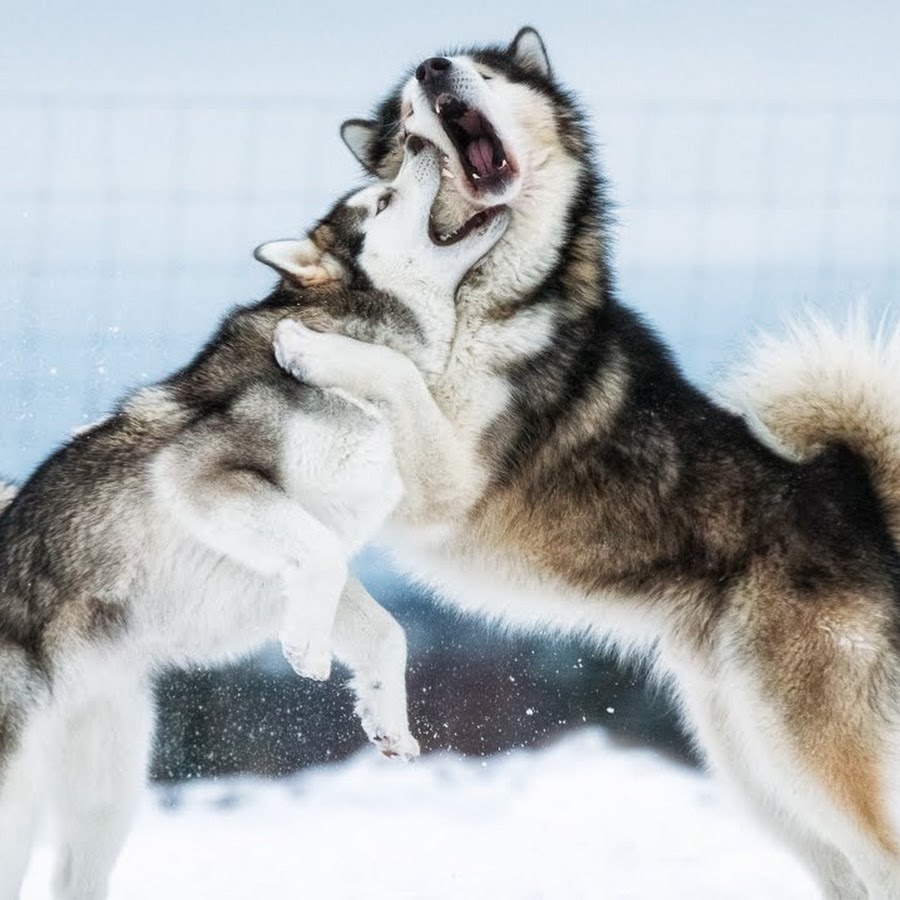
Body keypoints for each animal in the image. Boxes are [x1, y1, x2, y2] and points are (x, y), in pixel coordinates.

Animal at [0, 141, 506, 900]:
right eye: (383, 200)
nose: (421, 144)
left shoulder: (315, 548)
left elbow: (383, 630)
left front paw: (384, 716)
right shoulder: (204, 476)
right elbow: (319, 559)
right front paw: (306, 651)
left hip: (104, 790)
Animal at [276, 24, 900, 896]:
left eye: (488, 71)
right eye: (404, 120)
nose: (433, 70)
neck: (476, 302)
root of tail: (859, 499)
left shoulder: (448, 486)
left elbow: (390, 371)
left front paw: (308, 342)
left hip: (810, 752)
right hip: (755, 765)